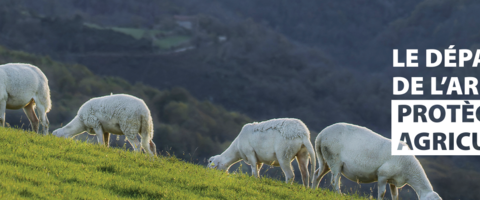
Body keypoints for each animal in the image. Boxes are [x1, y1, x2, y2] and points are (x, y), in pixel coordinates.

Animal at [312, 122, 442, 199]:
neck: (409, 168)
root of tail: (321, 135)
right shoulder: (383, 175)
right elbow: (382, 193)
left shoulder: (393, 180)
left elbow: (395, 196)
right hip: (334, 159)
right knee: (335, 181)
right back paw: (340, 195)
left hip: (326, 159)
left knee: (317, 174)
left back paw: (313, 190)